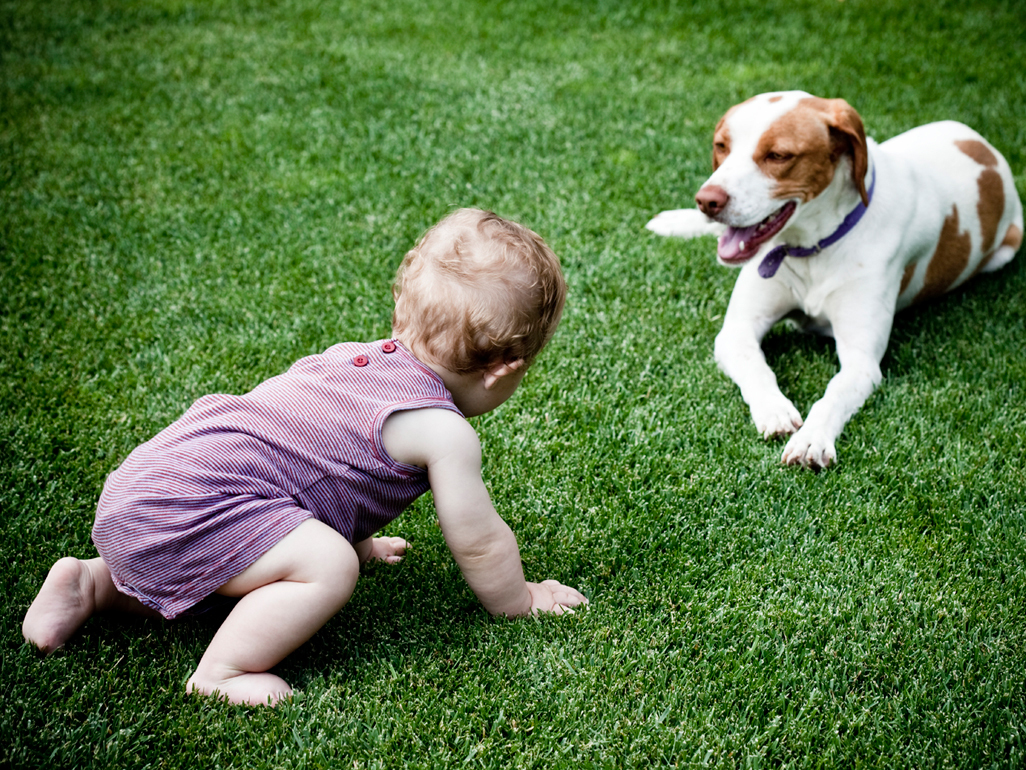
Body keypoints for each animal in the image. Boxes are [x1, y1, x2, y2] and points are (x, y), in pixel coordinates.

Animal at [644, 87, 1021, 468]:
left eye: (778, 155)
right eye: (721, 146)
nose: (707, 201)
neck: (812, 246)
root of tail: (986, 149)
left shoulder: (862, 361)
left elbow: (834, 392)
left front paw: (811, 438)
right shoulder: (736, 332)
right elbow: (756, 366)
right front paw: (774, 410)